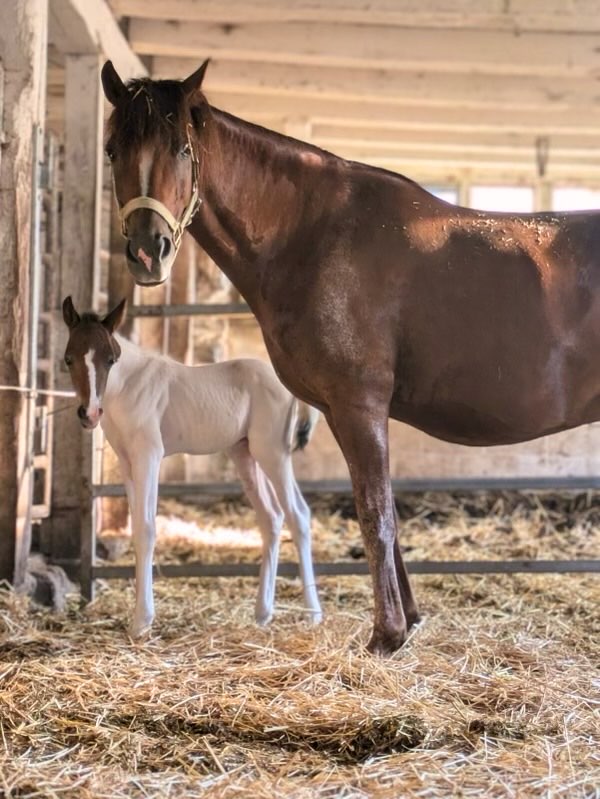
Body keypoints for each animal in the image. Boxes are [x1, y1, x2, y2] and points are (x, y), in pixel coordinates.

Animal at [62, 295, 322, 638]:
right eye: (68, 359)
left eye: (110, 359)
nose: (89, 413)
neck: (127, 388)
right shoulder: (128, 462)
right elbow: (136, 527)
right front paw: (138, 614)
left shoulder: (149, 455)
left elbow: (147, 528)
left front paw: (142, 621)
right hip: (246, 454)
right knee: (272, 517)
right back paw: (263, 613)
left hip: (273, 453)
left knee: (298, 515)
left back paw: (313, 614)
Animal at [100, 60, 600, 654]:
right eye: (111, 149)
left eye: (180, 147)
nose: (147, 251)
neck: (314, 235)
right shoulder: (345, 412)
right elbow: (385, 515)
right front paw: (408, 621)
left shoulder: (359, 405)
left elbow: (375, 515)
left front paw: (386, 635)